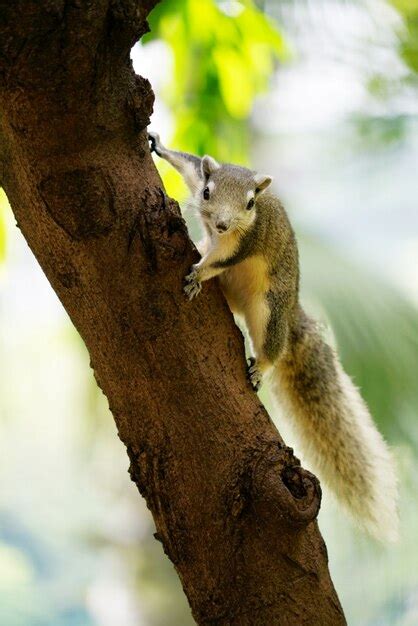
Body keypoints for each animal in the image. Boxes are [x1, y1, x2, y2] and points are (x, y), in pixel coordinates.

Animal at [148, 129, 398, 540]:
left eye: (250, 203)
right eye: (207, 192)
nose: (221, 225)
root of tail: (292, 310)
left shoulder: (245, 241)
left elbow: (220, 260)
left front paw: (199, 273)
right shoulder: (200, 179)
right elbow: (187, 164)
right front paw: (158, 145)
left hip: (269, 310)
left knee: (273, 347)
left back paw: (260, 366)